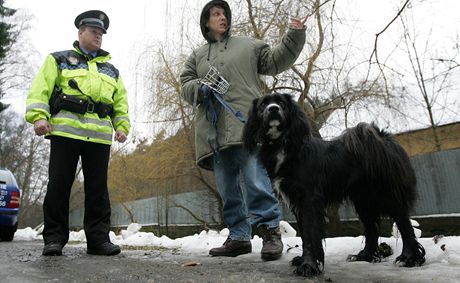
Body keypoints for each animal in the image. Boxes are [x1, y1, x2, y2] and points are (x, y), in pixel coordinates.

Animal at [243, 92, 426, 278]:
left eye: (281, 103)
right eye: (263, 105)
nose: (273, 109)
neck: (282, 144)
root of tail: (382, 136)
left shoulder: (309, 199)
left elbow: (309, 233)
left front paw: (308, 266)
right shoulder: (298, 202)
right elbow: (305, 235)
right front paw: (305, 261)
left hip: (385, 193)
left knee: (404, 223)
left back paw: (409, 258)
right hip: (363, 199)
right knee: (371, 229)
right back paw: (364, 256)